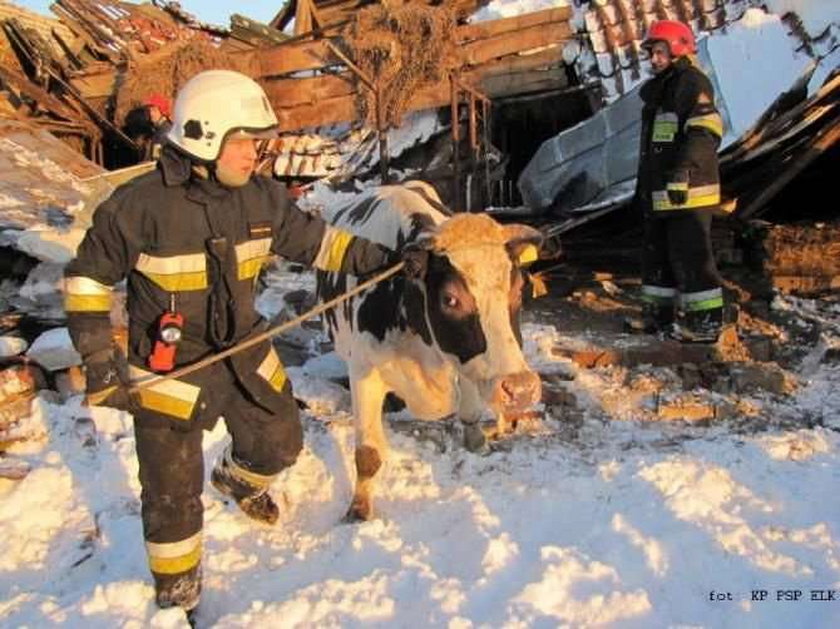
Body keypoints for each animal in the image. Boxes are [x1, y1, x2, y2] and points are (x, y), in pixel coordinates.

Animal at [316, 179, 544, 516]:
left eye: (518, 290)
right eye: (450, 299)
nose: (521, 389)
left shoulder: (464, 360)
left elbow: (470, 410)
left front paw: (477, 441)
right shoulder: (363, 371)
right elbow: (367, 454)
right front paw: (358, 508)